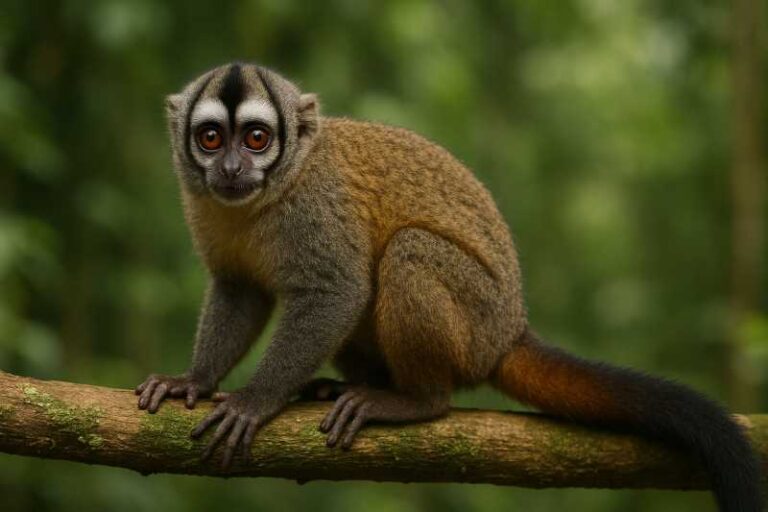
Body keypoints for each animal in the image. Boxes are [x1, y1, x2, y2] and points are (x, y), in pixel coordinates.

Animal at [134, 62, 762, 511]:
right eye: (211, 139)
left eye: (257, 139)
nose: (232, 169)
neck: (268, 195)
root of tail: (509, 331)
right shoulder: (203, 208)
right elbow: (240, 290)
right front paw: (194, 380)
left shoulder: (315, 208)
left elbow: (337, 291)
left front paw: (255, 401)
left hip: (475, 323)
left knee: (409, 252)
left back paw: (414, 400)